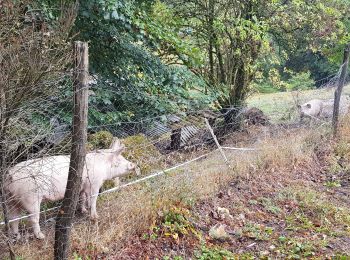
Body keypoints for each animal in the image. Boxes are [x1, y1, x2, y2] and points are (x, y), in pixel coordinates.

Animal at [6, 141, 137, 239]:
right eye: (119, 161)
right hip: (30, 197)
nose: (134, 164)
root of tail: (11, 175)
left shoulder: (82, 187)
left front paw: (83, 211)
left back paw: (16, 236)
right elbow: (93, 199)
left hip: (10, 199)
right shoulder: (94, 184)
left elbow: (82, 198)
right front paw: (95, 217)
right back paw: (41, 236)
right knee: (32, 218)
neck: (103, 166)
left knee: (13, 218)